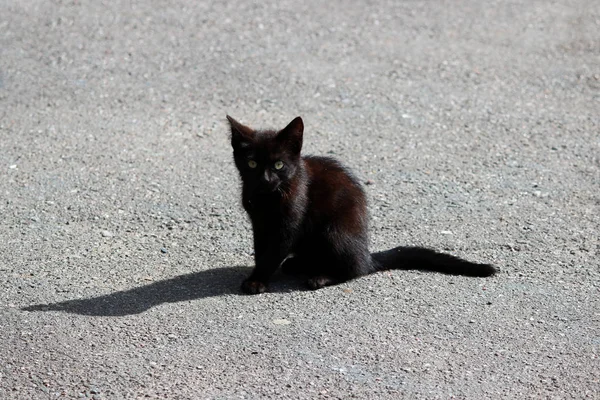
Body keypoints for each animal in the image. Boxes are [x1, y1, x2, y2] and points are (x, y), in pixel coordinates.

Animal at [226, 115, 496, 294]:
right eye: (252, 164)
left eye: (279, 165)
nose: (266, 179)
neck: (267, 198)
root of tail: (367, 255)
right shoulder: (259, 225)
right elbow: (261, 250)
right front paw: (257, 275)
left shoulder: (288, 224)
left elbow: (272, 253)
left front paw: (257, 280)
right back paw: (298, 264)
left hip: (334, 231)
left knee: (354, 269)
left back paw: (320, 277)